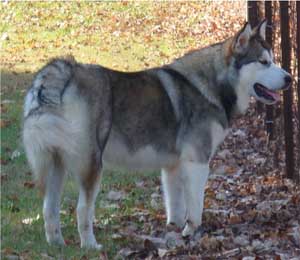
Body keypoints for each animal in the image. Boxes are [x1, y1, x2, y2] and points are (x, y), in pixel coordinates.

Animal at [22, 20, 290, 250]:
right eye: (263, 62)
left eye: (273, 60)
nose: (289, 78)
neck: (213, 85)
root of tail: (61, 73)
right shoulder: (197, 163)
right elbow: (195, 208)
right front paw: (192, 234)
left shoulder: (172, 166)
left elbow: (176, 207)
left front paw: (174, 232)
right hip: (92, 165)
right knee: (82, 210)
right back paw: (90, 246)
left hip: (55, 165)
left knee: (49, 208)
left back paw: (57, 244)